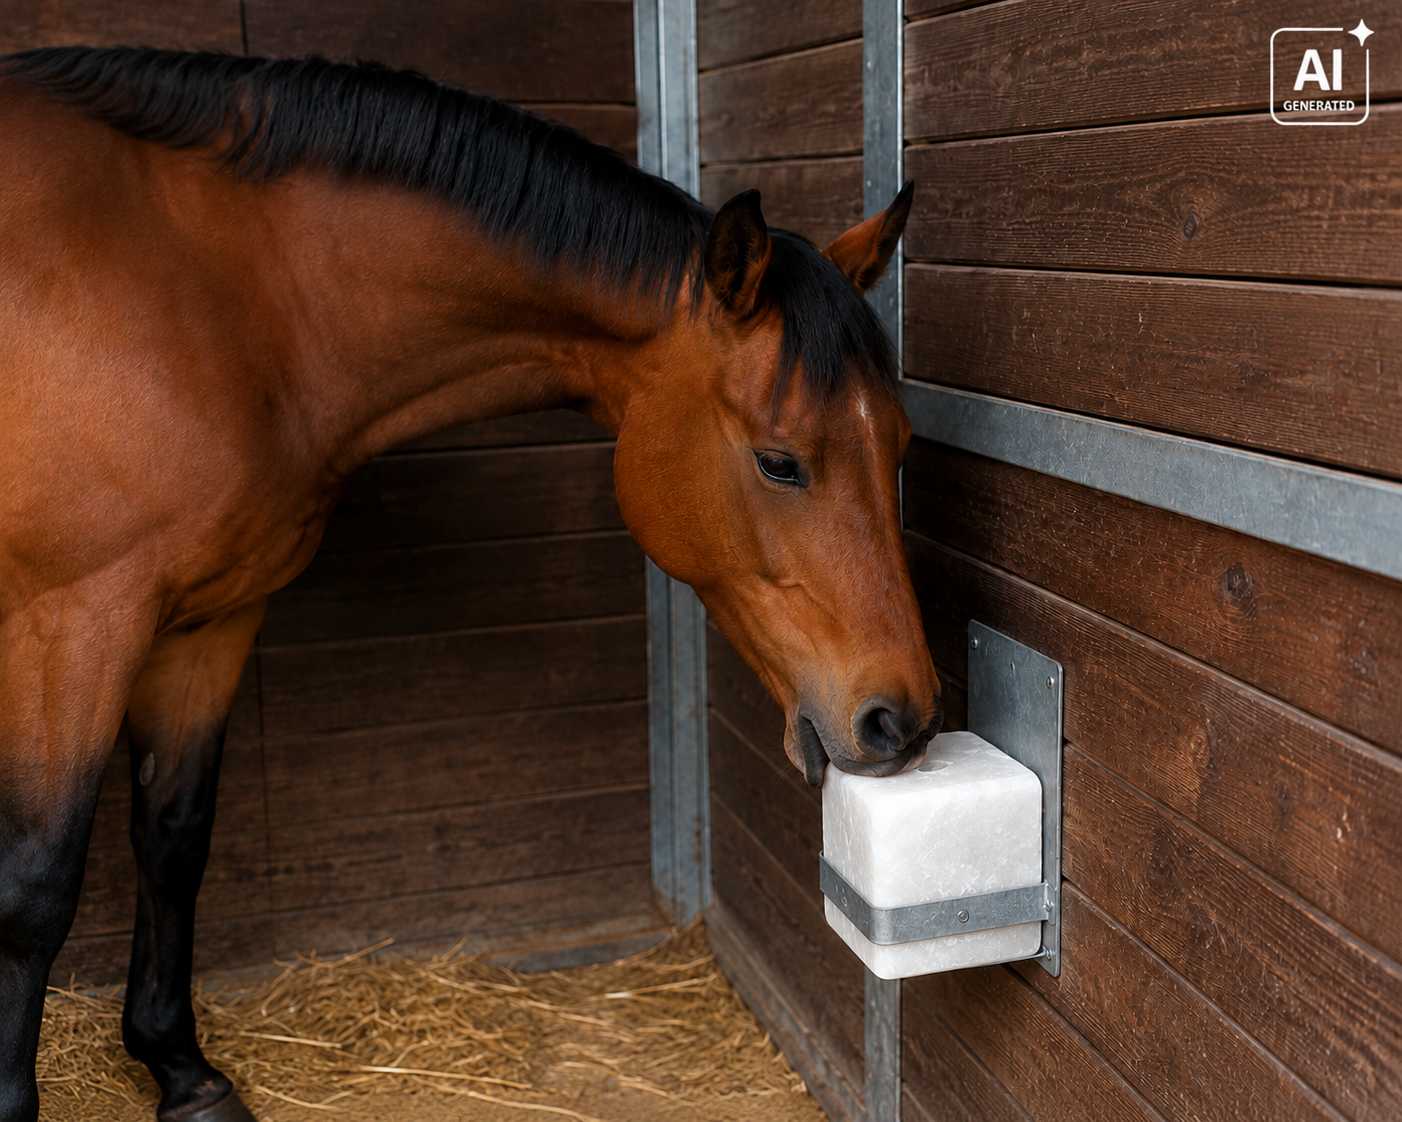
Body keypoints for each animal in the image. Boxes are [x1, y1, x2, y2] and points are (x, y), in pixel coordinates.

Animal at [0, 47, 941, 1122]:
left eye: (900, 446)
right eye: (780, 462)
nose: (902, 719)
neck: (219, 295)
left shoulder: (209, 622)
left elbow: (171, 837)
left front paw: (182, 1070)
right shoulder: (73, 622)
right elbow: (35, 887)